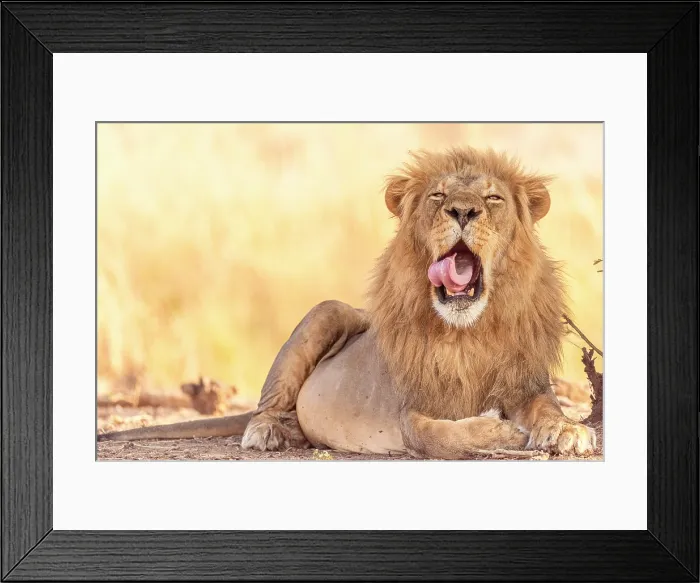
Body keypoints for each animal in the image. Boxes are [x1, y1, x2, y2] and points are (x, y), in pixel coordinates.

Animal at [99, 147, 596, 458]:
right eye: (438, 195)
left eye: (492, 198)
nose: (462, 211)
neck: (469, 331)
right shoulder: (410, 411)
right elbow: (439, 437)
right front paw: (500, 430)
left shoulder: (526, 382)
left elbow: (548, 408)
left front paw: (569, 431)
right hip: (325, 312)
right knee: (266, 405)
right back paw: (269, 432)